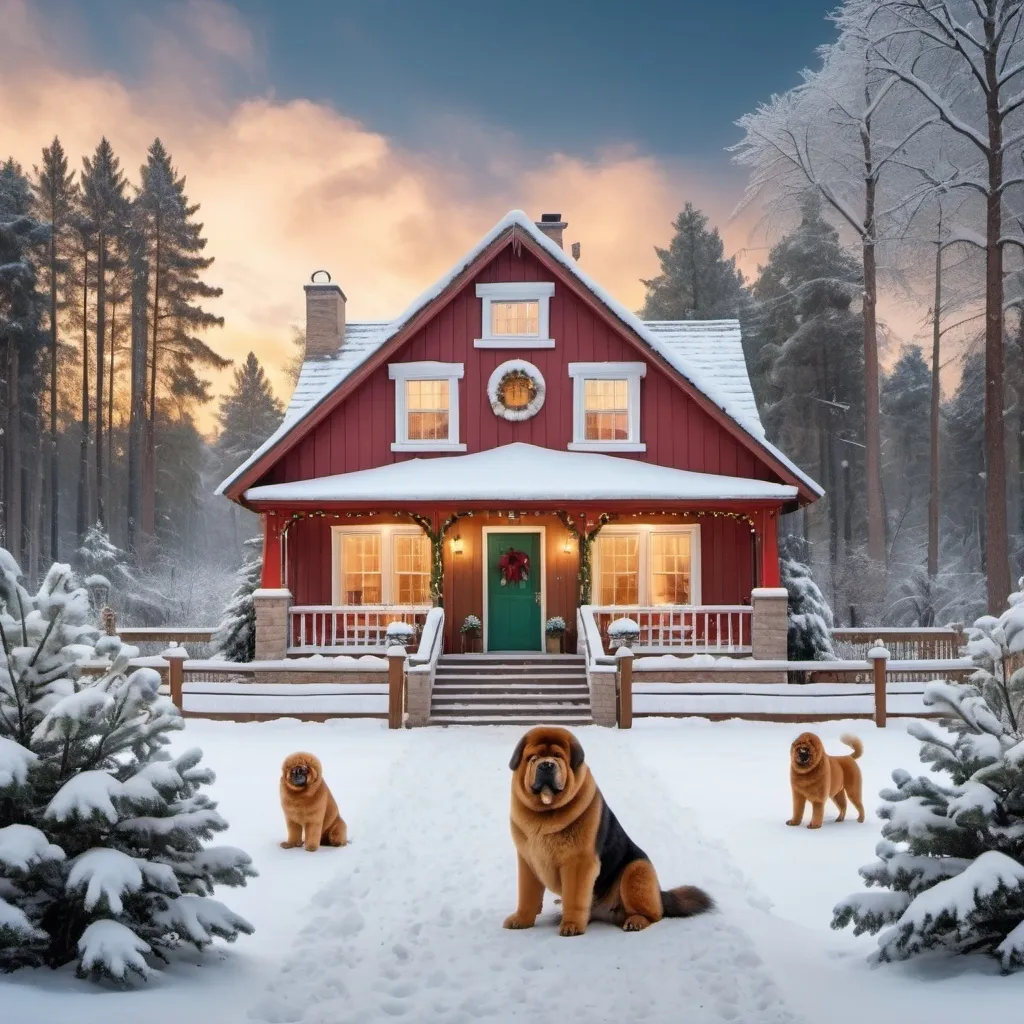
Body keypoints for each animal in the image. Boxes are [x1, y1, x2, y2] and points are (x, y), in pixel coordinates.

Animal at [503, 720, 712, 937]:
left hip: (637, 870)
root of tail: (660, 895)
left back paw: (636, 921)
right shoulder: (527, 860)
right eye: (533, 758)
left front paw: (571, 925)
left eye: (558, 756)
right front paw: (521, 920)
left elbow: (575, 898)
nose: (546, 764)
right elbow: (527, 894)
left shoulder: (579, 862)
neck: (545, 813)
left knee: (654, 913)